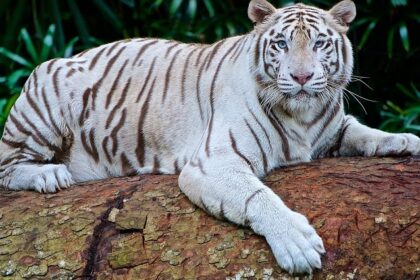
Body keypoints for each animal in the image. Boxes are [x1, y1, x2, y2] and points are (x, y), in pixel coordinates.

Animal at [0, 0, 420, 274]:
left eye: (319, 43)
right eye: (282, 43)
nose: (301, 77)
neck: (303, 116)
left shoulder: (333, 129)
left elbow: (364, 132)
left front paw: (405, 139)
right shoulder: (214, 162)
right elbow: (258, 197)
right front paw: (297, 244)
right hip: (46, 101)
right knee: (7, 166)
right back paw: (49, 175)